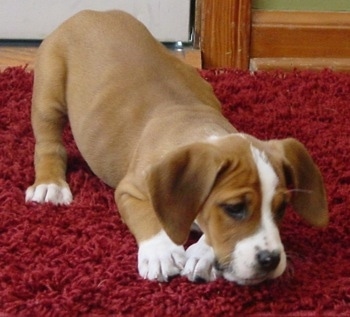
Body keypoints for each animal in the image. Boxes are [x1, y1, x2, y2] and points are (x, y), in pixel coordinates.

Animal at [26, 10, 330, 284]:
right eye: (234, 208)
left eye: (281, 208)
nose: (270, 260)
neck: (200, 130)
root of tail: (92, 12)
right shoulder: (130, 190)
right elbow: (149, 218)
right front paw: (161, 253)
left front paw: (203, 254)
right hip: (49, 90)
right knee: (49, 145)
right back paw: (50, 184)